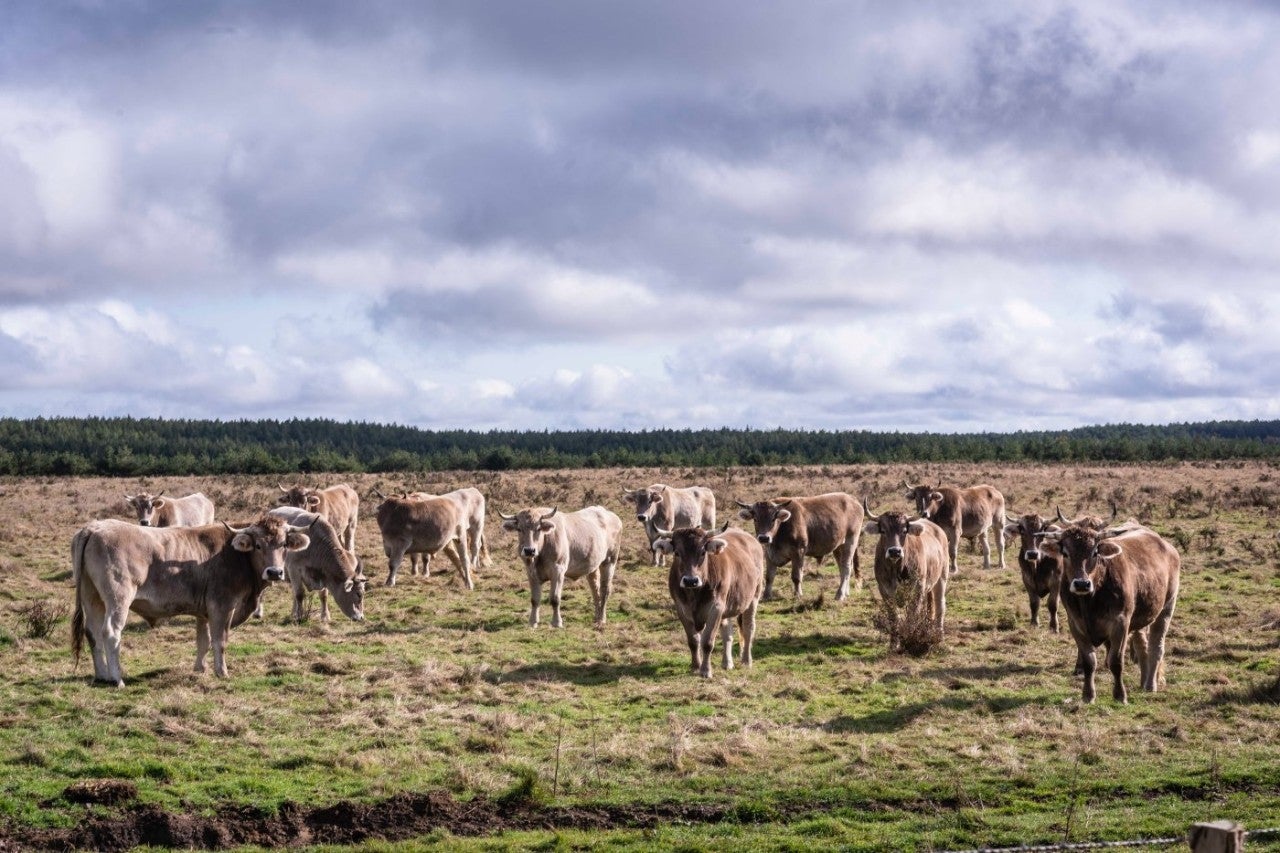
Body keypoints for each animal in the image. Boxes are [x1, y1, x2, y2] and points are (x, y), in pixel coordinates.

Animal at [68, 512, 308, 686]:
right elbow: (219, 641)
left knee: (92, 632)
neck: (235, 554)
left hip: (92, 597)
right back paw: (117, 678)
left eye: (284, 544)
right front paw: (222, 672)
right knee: (110, 633)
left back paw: (102, 675)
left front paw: (200, 669)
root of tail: (94, 528)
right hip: (118, 598)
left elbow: (203, 640)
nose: (274, 572)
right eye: (258, 545)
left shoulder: (204, 611)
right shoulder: (222, 606)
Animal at [655, 525, 762, 676]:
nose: (690, 580)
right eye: (677, 553)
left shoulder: (715, 609)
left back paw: (746, 660)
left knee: (748, 628)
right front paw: (695, 666)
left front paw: (705, 670)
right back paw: (727, 663)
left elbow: (707, 642)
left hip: (753, 598)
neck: (694, 594)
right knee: (727, 633)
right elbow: (693, 641)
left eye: (702, 552)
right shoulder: (681, 609)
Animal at [737, 489, 865, 601]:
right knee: (843, 568)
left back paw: (840, 594)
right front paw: (766, 596)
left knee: (846, 567)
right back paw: (846, 592)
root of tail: (852, 499)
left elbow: (796, 576)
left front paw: (798, 594)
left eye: (773, 518)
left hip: (850, 541)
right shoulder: (769, 554)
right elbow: (769, 576)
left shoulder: (798, 551)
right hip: (838, 547)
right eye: (755, 518)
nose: (764, 537)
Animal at [860, 499, 952, 650]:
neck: (896, 569)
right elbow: (893, 616)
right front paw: (894, 643)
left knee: (940, 605)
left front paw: (909, 638)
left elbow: (912, 614)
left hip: (942, 578)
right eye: (883, 530)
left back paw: (939, 636)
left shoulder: (918, 587)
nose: (895, 551)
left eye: (904, 531)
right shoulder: (884, 589)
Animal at [1039, 522, 1177, 701]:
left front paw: (1120, 695)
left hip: (1166, 608)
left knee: (1156, 647)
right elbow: (1089, 662)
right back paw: (1143, 680)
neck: (1090, 601)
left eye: (1095, 552)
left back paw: (1150, 685)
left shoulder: (1121, 624)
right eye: (1065, 553)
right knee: (1142, 646)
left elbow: (1116, 662)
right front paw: (1088, 695)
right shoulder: (1075, 624)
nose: (1082, 584)